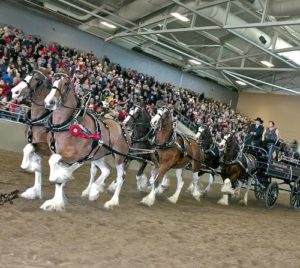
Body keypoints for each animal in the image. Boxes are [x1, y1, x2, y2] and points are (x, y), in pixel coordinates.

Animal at [42, 72, 130, 210]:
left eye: (65, 83)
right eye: (52, 82)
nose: (49, 102)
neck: (69, 124)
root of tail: (123, 127)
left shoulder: (77, 156)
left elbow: (58, 169)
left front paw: (56, 183)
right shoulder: (60, 154)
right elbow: (58, 174)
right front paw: (55, 202)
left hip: (119, 158)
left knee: (121, 177)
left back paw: (112, 201)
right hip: (96, 155)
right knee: (106, 170)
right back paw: (93, 191)